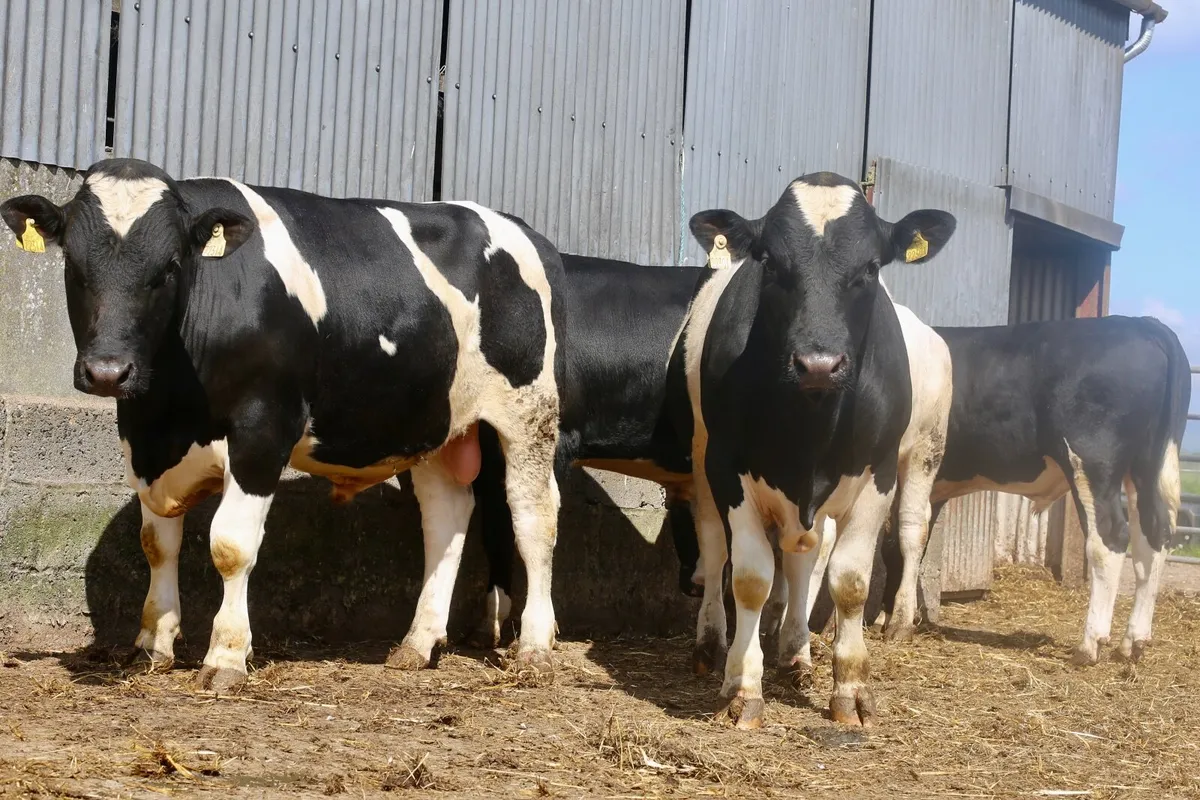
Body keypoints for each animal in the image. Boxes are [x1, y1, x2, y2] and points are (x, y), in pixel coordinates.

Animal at [1, 158, 568, 691]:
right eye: (73, 264)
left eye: (170, 267)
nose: (108, 371)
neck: (170, 409)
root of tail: (530, 233)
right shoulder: (145, 443)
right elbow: (157, 542)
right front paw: (152, 645)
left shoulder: (262, 428)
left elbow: (231, 546)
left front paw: (226, 656)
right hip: (432, 424)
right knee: (446, 516)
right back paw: (417, 642)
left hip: (529, 412)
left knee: (534, 517)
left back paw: (535, 648)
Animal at [681, 172, 956, 728]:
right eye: (769, 261)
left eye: (871, 266)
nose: (819, 363)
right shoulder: (727, 466)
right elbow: (750, 576)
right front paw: (743, 686)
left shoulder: (878, 473)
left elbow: (848, 579)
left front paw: (849, 689)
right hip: (701, 453)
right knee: (716, 545)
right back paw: (713, 641)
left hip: (919, 454)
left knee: (823, 552)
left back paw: (803, 648)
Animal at [879, 316, 1190, 666]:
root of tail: (1143, 323)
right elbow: (898, 545)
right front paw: (889, 613)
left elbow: (898, 542)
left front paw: (893, 618)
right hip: (1147, 469)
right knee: (1153, 538)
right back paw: (1132, 643)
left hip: (1093, 462)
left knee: (1108, 538)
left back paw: (1089, 644)